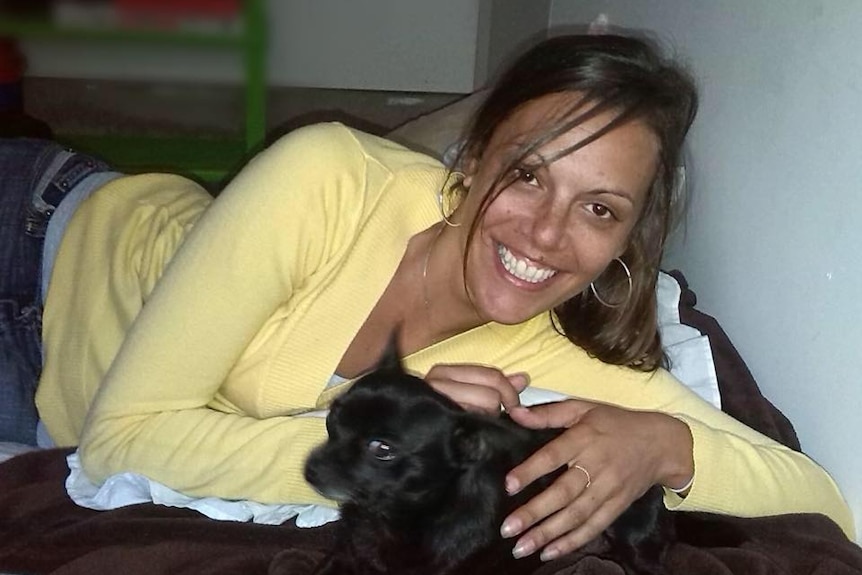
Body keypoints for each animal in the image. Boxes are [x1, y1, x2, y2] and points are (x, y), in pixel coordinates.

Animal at [304, 344, 676, 572]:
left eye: (382, 449)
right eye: (332, 420)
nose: (309, 470)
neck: (389, 519)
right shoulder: (343, 557)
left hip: (632, 541)